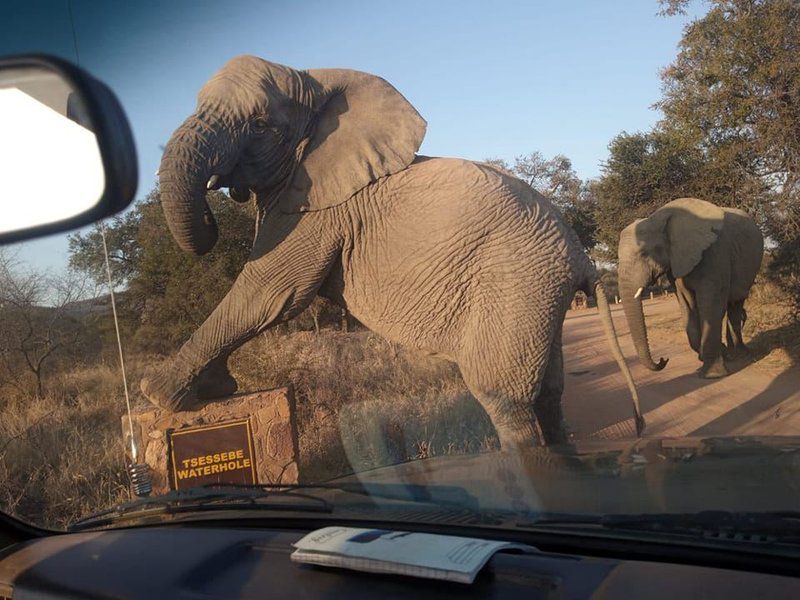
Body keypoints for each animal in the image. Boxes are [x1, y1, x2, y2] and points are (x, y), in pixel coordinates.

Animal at [141, 56, 644, 448]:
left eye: (261, 125)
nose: (215, 209)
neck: (316, 84)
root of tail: (580, 256)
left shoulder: (317, 209)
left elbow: (270, 290)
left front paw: (156, 393)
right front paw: (216, 389)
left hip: (517, 281)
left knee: (503, 397)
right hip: (538, 291)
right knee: (549, 393)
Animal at [620, 202, 764, 380]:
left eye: (644, 253)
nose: (663, 359)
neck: (659, 218)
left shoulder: (715, 254)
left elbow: (710, 305)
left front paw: (713, 374)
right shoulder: (676, 264)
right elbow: (687, 304)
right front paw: (712, 355)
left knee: (736, 304)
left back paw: (741, 354)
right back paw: (732, 354)